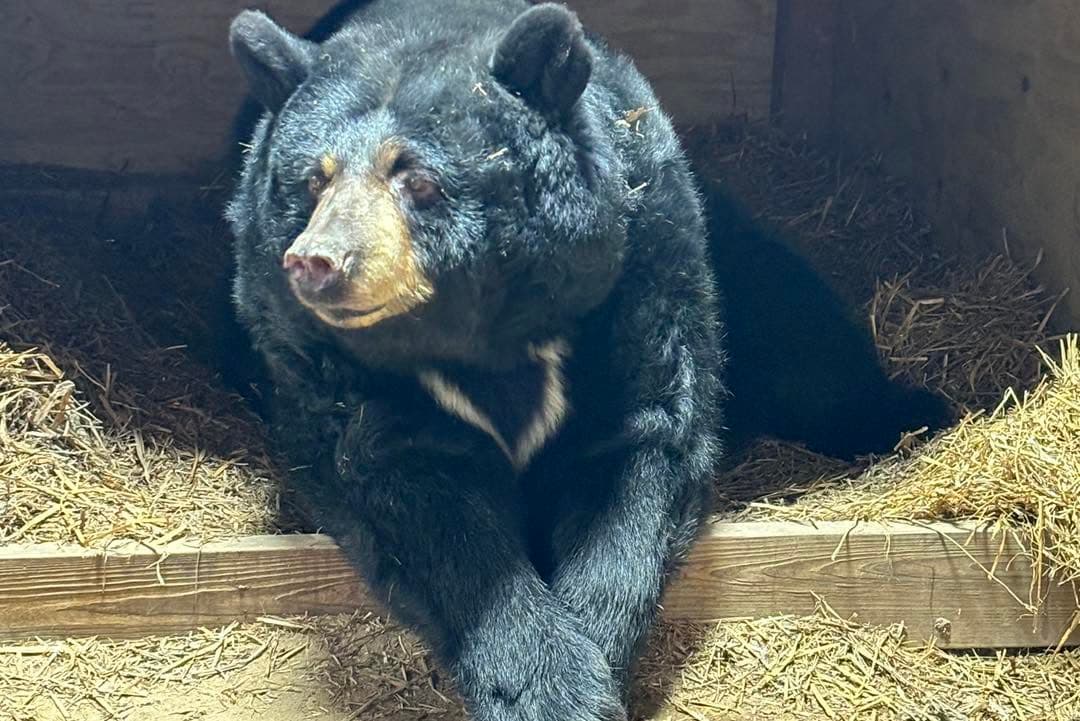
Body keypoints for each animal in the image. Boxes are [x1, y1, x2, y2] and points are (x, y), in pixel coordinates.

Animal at [225, 2, 723, 720]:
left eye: (416, 178)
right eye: (313, 180)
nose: (318, 261)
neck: (478, 339)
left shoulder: (641, 272)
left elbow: (643, 445)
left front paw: (594, 651)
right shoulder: (315, 357)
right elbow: (413, 492)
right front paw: (550, 688)